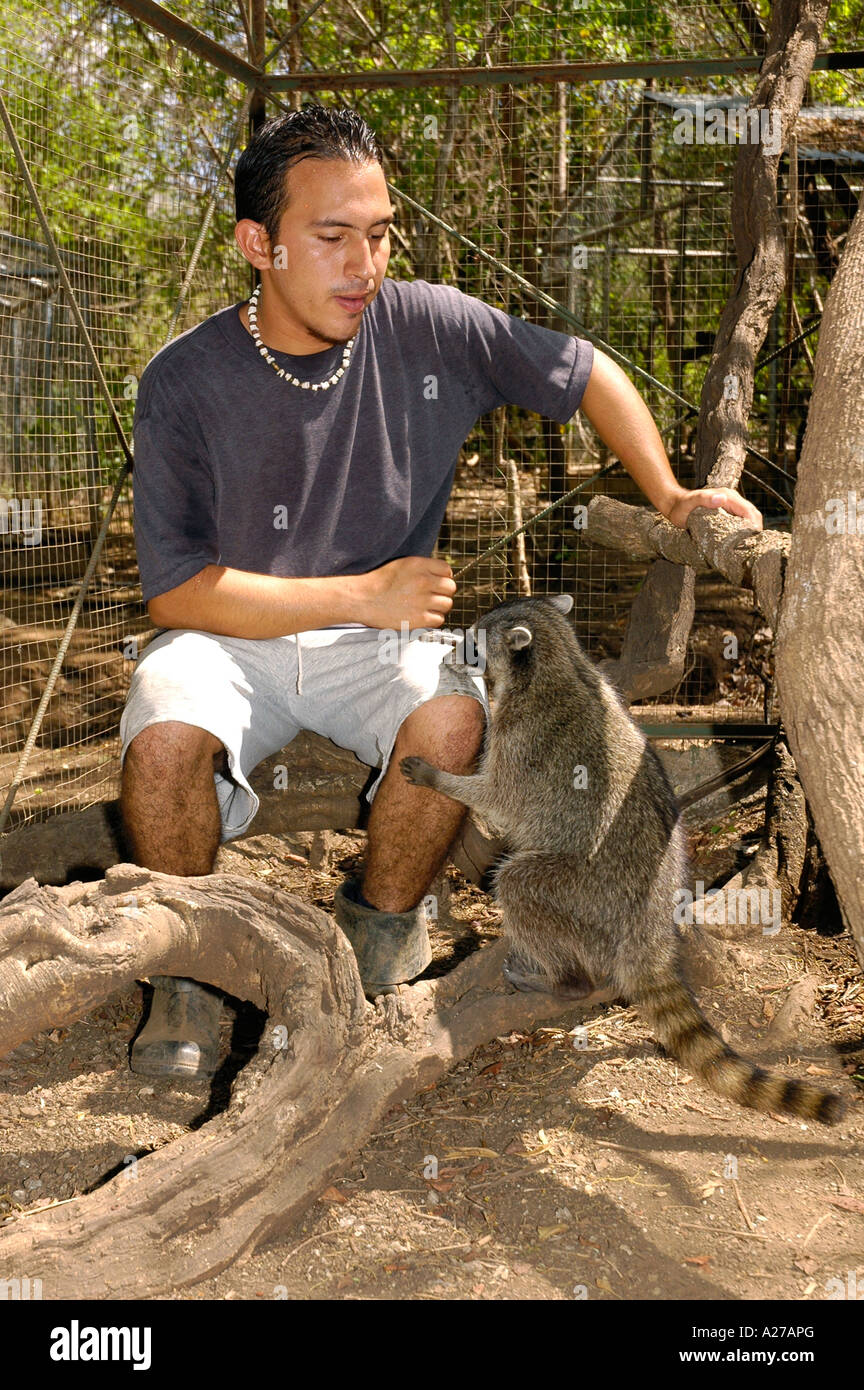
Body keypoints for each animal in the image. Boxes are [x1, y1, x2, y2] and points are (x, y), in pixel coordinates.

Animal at [405, 592, 844, 1123]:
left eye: (473, 643)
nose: (450, 650)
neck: (559, 662)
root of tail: (648, 929)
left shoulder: (522, 737)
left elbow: (498, 796)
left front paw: (440, 779)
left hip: (586, 895)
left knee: (519, 882)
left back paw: (564, 980)